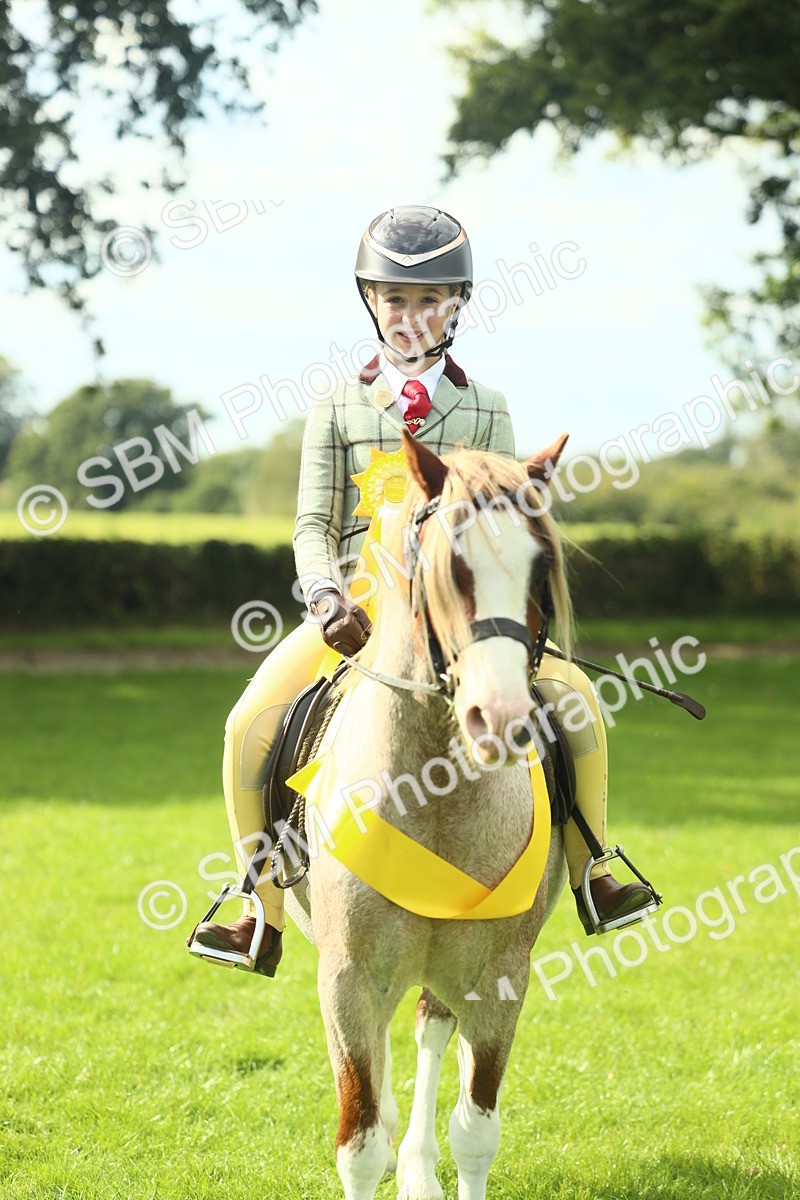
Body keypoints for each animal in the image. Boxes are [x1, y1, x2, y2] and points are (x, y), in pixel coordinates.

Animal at [294, 429, 573, 1200]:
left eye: (541, 567)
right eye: (451, 564)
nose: (500, 718)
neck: (436, 797)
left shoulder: (499, 979)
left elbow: (475, 1132)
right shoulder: (348, 979)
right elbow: (359, 1142)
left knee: (427, 1033)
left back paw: (417, 1167)